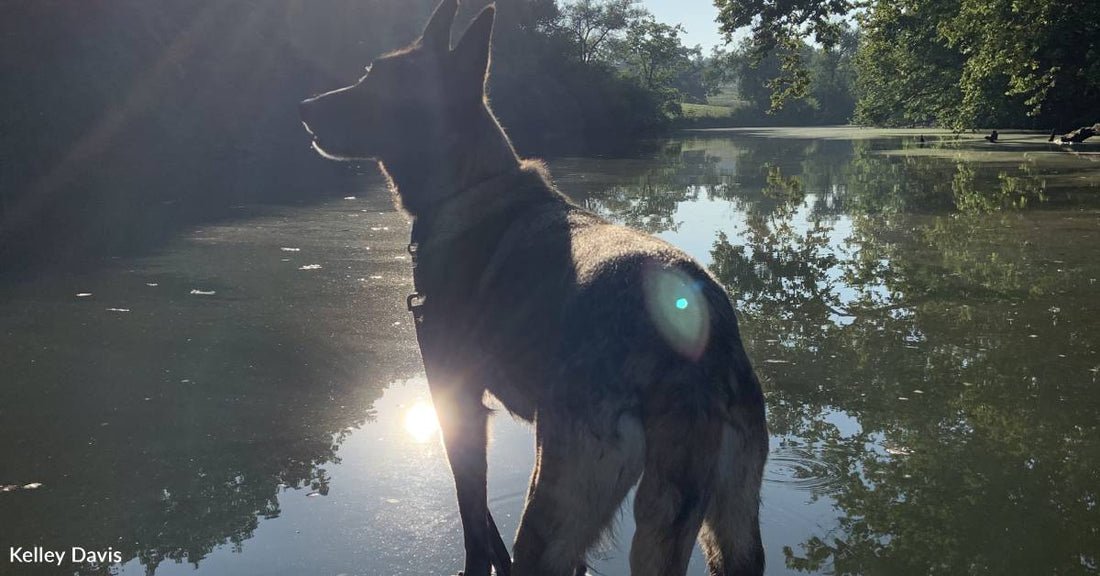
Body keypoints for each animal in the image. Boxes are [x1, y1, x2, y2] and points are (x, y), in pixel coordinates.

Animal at [297, 2, 770, 571]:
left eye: (376, 79)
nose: (303, 108)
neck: (471, 186)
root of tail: (690, 355)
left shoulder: (457, 403)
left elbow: (475, 523)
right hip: (732, 528)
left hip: (552, 512)